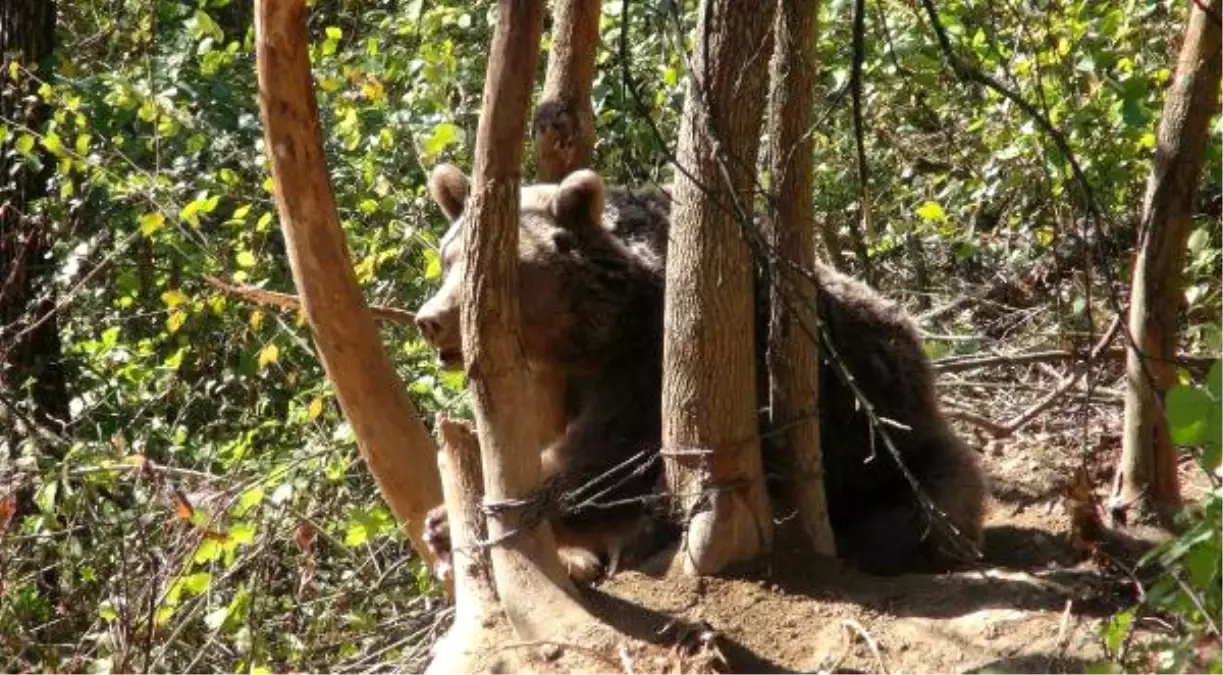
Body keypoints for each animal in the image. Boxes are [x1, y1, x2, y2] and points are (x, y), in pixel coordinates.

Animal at [415, 162, 988, 579]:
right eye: (448, 257)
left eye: (492, 270)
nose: (432, 321)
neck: (578, 339)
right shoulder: (548, 383)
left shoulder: (647, 359)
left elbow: (610, 456)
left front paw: (454, 519)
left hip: (884, 441)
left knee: (927, 505)